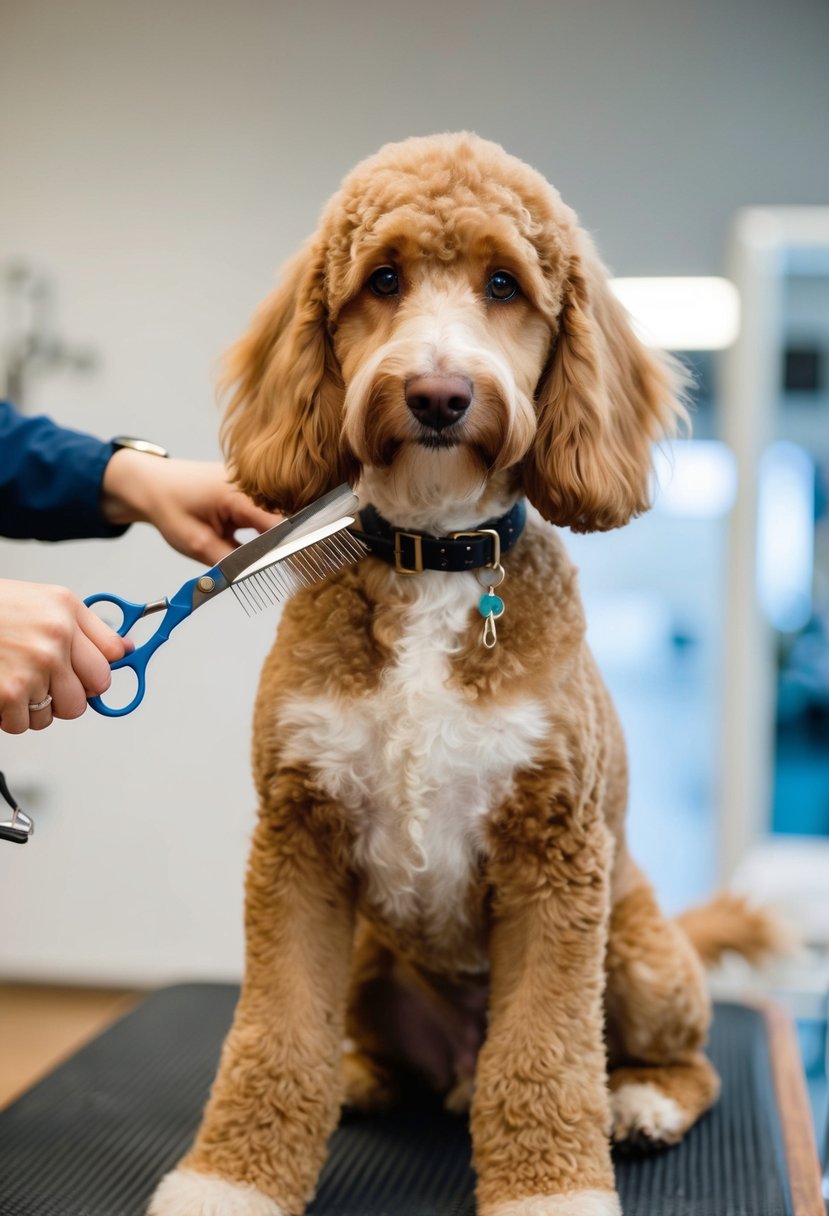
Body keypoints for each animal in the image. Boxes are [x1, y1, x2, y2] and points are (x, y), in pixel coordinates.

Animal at [148, 133, 753, 1216]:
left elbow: (546, 1050)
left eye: (503, 283)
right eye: (383, 279)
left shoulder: (555, 854)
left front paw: (552, 1191)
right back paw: (364, 1078)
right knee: (383, 1055)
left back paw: (637, 1101)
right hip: (369, 960)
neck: (433, 555)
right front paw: (228, 1182)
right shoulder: (297, 839)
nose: (437, 394)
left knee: (679, 1060)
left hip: (637, 953)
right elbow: (274, 1035)